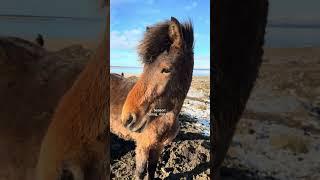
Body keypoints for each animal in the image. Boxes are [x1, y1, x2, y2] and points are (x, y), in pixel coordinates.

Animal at [111, 16, 194, 179]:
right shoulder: (143, 146)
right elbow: (140, 172)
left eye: (166, 69)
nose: (127, 118)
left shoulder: (158, 147)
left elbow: (152, 170)